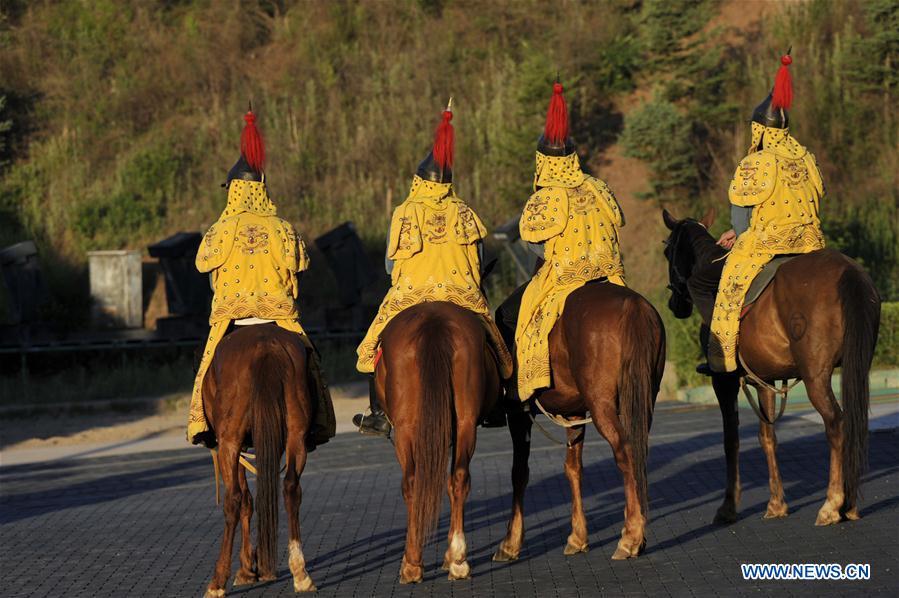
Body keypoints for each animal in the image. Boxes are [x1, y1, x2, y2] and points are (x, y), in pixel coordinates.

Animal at [202, 326, 318, 596]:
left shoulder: (237, 446)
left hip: (230, 441)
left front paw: (246, 570)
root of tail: (266, 347)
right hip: (296, 433)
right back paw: (300, 574)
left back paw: (217, 582)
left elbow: (245, 500)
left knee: (233, 500)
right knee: (290, 488)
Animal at [370, 302, 502, 584]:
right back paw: (459, 560)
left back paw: (412, 564)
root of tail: (434, 321)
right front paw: (450, 556)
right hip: (464, 422)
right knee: (459, 478)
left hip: (405, 429)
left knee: (411, 484)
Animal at [488, 282, 664, 564]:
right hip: (643, 399)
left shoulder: (518, 415)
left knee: (625, 453)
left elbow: (519, 473)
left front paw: (510, 542)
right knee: (638, 453)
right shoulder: (573, 414)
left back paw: (631, 538)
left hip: (602, 405)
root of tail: (632, 306)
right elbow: (573, 468)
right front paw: (578, 537)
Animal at [664, 210, 884, 524]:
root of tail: (849, 273)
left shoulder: (724, 382)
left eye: (667, 250)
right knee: (854, 420)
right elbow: (767, 437)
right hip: (857, 364)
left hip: (816, 377)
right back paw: (850, 504)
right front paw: (777, 503)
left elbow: (731, 439)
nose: (675, 305)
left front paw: (728, 506)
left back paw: (832, 504)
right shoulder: (763, 381)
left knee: (836, 423)